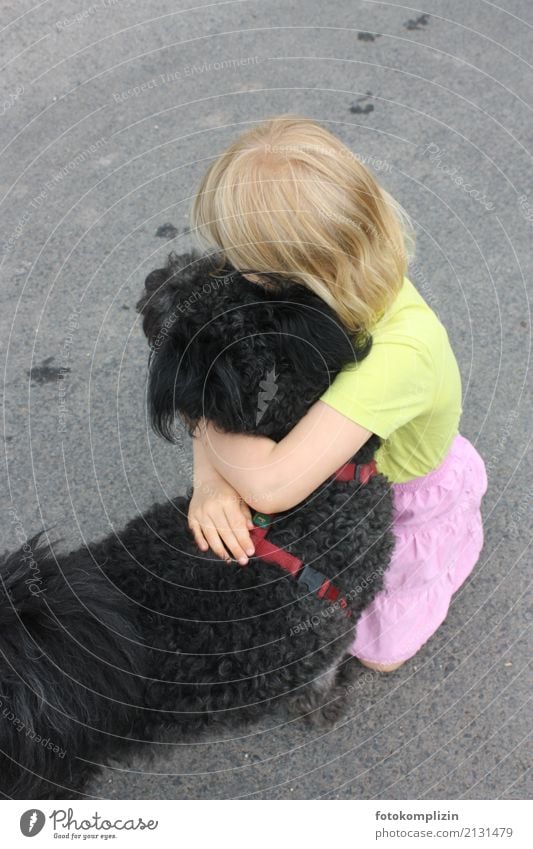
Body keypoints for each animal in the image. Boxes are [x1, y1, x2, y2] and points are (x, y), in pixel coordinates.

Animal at [0, 250, 390, 796]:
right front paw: (331, 703)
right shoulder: (318, 646)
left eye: (208, 276)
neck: (303, 509)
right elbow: (318, 688)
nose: (150, 277)